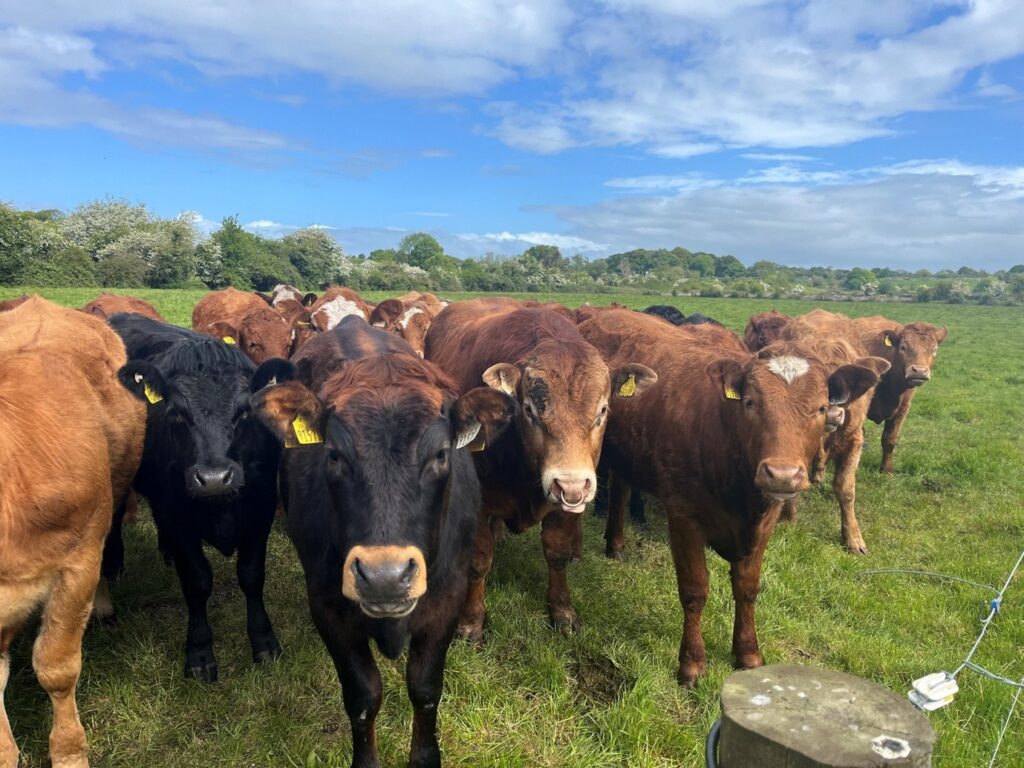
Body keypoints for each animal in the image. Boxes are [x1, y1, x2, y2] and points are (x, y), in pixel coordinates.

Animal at [108, 313, 289, 682]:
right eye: (177, 412)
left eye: (244, 411)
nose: (214, 478)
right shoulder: (177, 515)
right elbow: (197, 582)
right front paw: (199, 654)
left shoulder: (260, 509)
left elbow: (252, 575)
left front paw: (264, 642)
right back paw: (115, 564)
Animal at [254, 317, 514, 768]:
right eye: (334, 455)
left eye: (441, 454)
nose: (385, 577)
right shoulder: (328, 608)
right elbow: (363, 697)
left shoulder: (447, 599)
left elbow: (425, 690)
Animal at [425, 298, 656, 640]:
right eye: (529, 410)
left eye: (602, 410)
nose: (571, 485)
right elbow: (479, 561)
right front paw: (471, 621)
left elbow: (557, 553)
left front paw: (562, 611)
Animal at [577, 308, 882, 685]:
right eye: (751, 402)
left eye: (822, 407)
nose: (782, 474)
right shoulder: (684, 517)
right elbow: (694, 590)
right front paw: (692, 663)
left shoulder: (765, 522)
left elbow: (747, 587)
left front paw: (748, 653)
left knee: (620, 486)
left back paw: (616, 544)